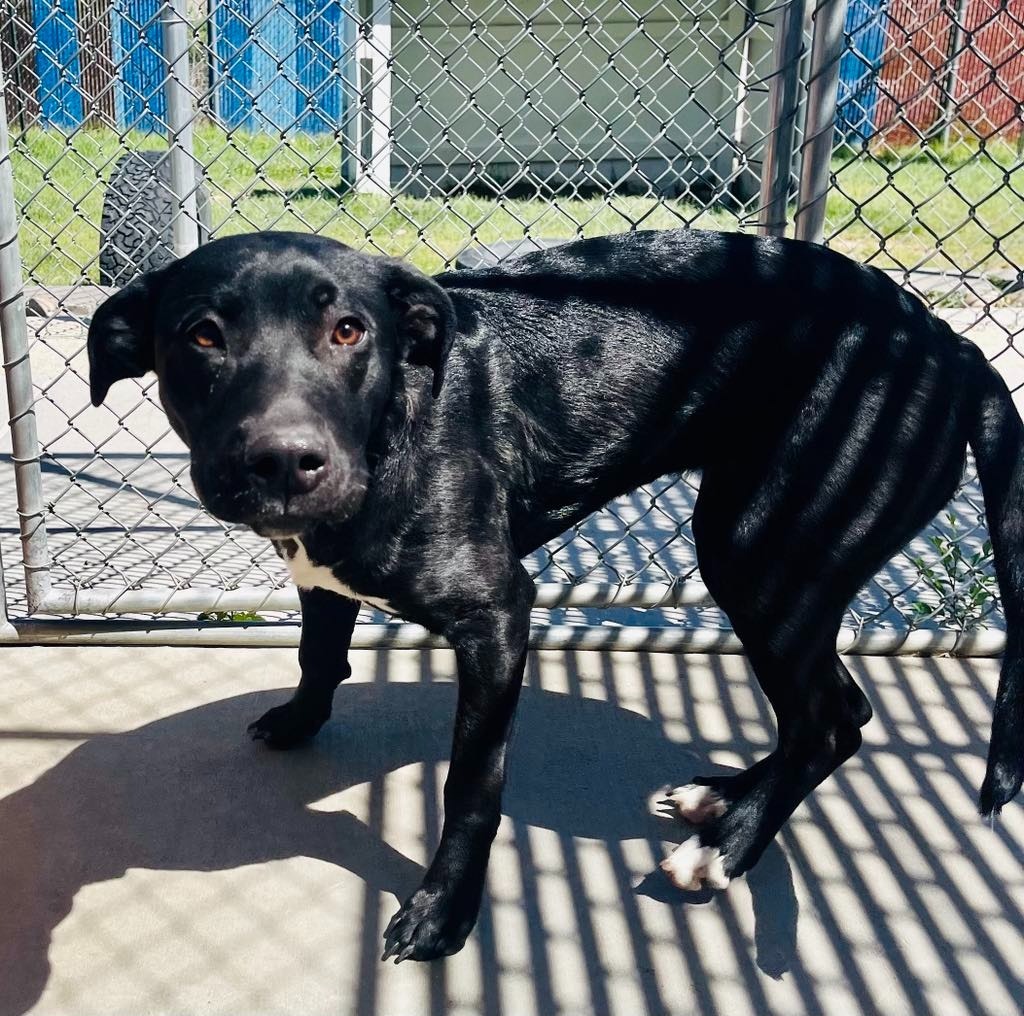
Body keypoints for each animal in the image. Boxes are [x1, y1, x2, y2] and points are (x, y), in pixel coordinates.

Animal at [90, 228, 1024, 958]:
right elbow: (319, 654)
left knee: (827, 719)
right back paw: (722, 801)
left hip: (761, 552)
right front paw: (298, 718)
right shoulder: (322, 575)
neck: (396, 423)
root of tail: (948, 341)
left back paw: (725, 850)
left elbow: (471, 785)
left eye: (348, 330)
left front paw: (444, 914)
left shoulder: (498, 614)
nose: (285, 461)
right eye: (202, 336)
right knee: (839, 711)